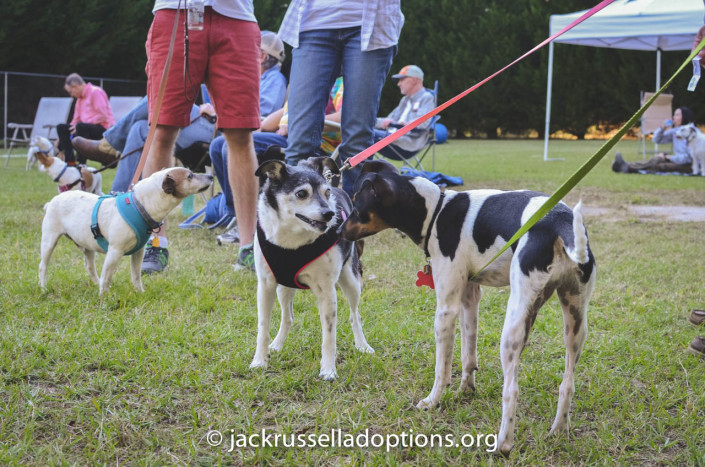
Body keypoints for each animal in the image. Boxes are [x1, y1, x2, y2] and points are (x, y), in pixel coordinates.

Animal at [39, 166, 212, 294]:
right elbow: (107, 277)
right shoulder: (114, 252)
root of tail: (51, 202)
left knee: (90, 267)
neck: (140, 205)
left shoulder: (139, 252)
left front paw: (139, 292)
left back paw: (96, 283)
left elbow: (136, 275)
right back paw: (43, 287)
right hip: (49, 240)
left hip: (87, 243)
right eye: (190, 176)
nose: (211, 177)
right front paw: (104, 297)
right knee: (43, 265)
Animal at [249, 157, 374, 380]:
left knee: (355, 315)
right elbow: (263, 328)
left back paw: (362, 345)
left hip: (351, 281)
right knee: (288, 317)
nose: (330, 213)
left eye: (326, 193)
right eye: (301, 194)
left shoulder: (327, 291)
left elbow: (329, 336)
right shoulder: (266, 286)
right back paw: (277, 345)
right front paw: (259, 361)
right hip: (284, 287)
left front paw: (328, 370)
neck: (292, 240)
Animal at [340, 161, 592, 458]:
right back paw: (559, 430)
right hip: (573, 321)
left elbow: (442, 369)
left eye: (356, 203)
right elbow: (468, 354)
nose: (338, 230)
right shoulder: (470, 297)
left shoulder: (446, 310)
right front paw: (466, 390)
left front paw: (433, 401)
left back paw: (503, 444)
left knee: (512, 390)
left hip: (514, 325)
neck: (436, 211)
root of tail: (560, 223)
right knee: (567, 383)